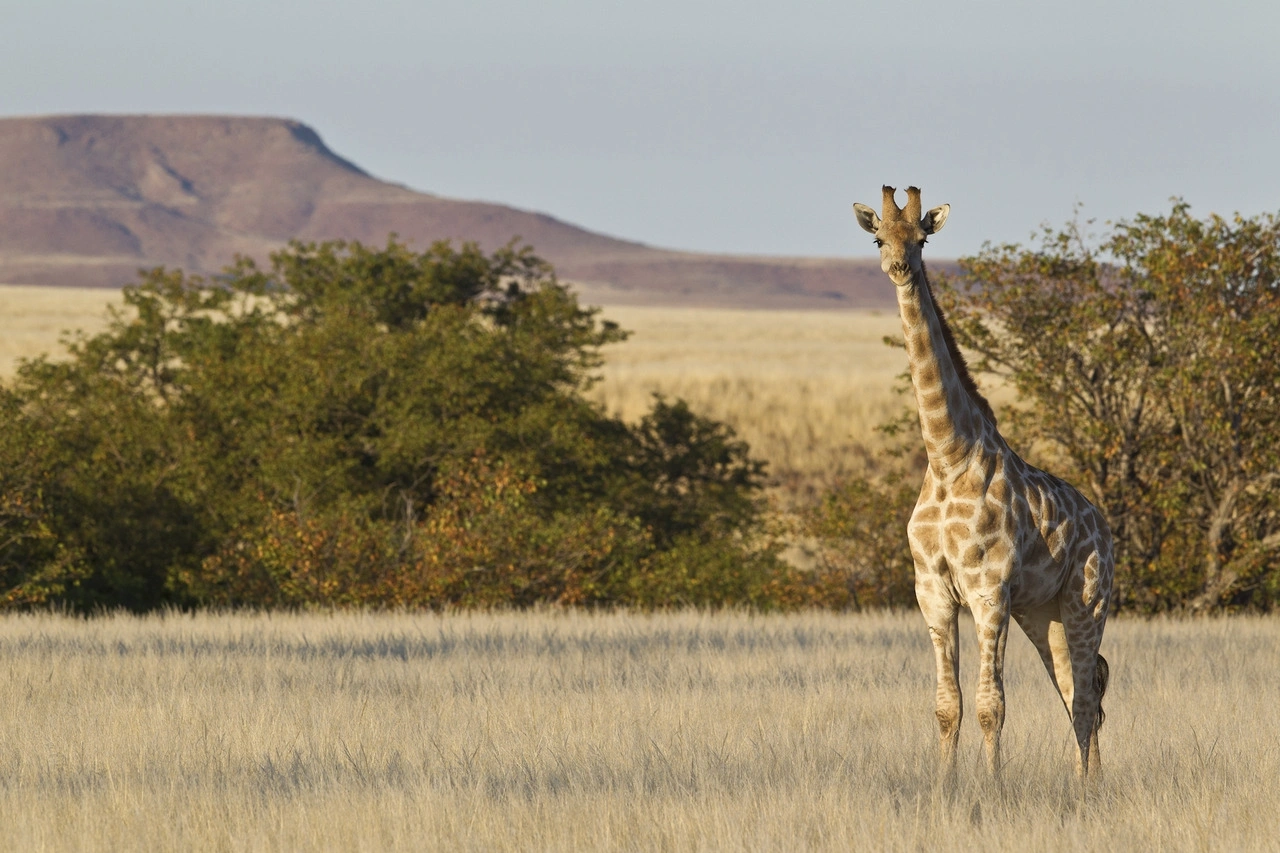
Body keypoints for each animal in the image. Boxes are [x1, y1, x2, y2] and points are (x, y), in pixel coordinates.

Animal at [855, 185, 1116, 778]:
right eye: (880, 238)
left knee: (1086, 699)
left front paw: (994, 789)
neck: (948, 457)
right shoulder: (932, 592)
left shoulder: (989, 589)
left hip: (1086, 602)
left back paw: (1086, 790)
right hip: (1042, 613)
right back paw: (1086, 785)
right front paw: (945, 788)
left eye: (922, 238)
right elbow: (947, 706)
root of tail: (1104, 527)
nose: (899, 267)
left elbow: (990, 705)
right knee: (1076, 694)